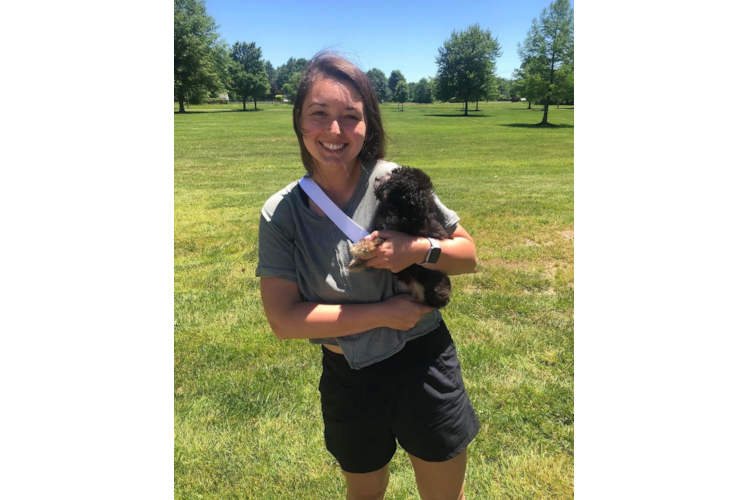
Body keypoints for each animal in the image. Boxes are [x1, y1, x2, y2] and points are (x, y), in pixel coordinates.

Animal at [346, 167, 450, 308]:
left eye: (392, 182)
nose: (376, 178)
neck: (396, 212)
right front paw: (357, 260)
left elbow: (379, 240)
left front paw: (363, 248)